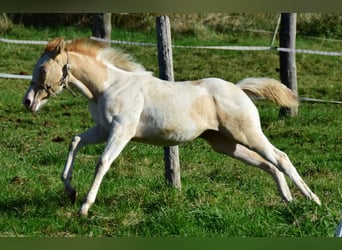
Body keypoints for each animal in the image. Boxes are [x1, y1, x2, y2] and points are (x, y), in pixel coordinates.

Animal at [22, 38, 320, 216]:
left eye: (42, 69)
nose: (28, 102)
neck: (109, 86)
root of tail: (239, 89)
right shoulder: (103, 129)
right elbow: (75, 141)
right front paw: (70, 191)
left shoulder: (122, 131)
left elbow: (103, 161)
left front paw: (84, 206)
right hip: (226, 144)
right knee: (268, 164)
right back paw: (288, 200)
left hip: (247, 133)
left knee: (280, 157)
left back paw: (312, 200)